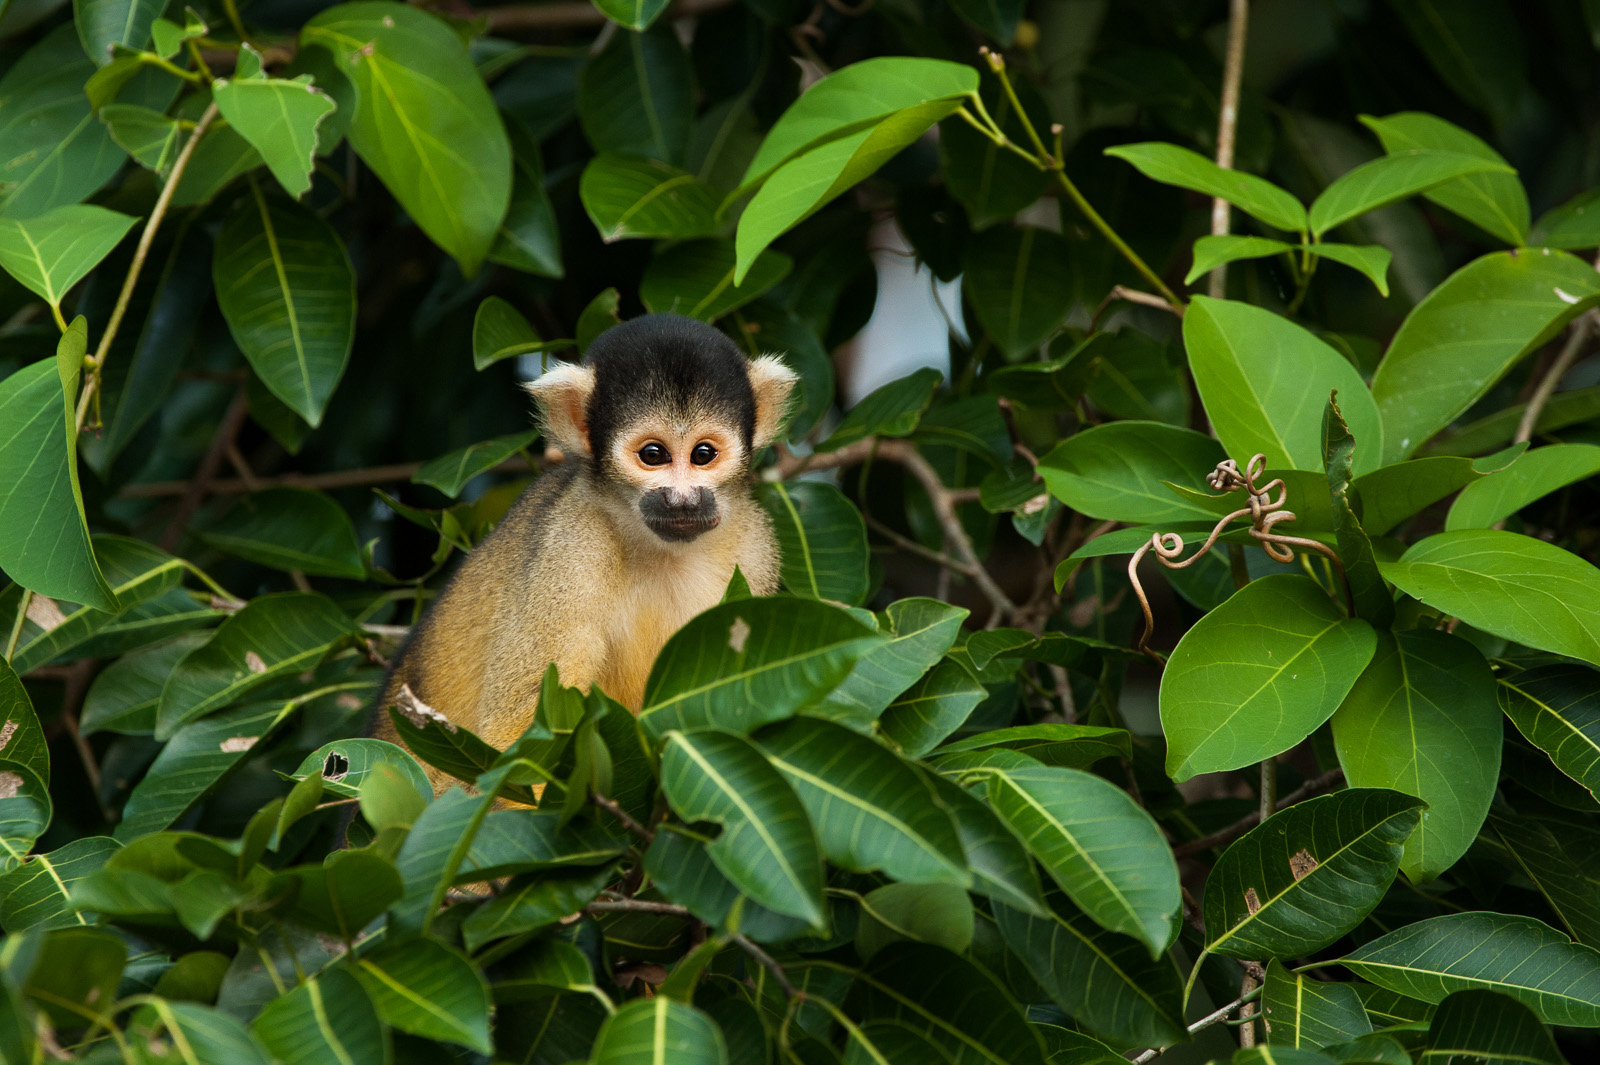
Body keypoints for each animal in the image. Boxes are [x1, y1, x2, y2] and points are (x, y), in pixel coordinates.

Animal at [376, 311, 800, 783]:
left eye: (703, 454)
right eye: (654, 455)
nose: (682, 501)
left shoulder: (753, 546)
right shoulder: (571, 543)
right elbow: (519, 732)